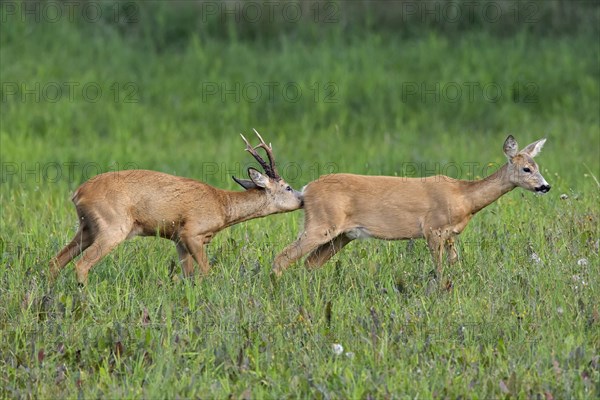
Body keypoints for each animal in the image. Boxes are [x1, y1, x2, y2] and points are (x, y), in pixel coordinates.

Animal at [49, 131, 302, 284]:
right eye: (288, 187)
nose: (302, 200)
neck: (222, 206)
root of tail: (78, 193)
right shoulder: (191, 232)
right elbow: (206, 271)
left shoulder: (178, 239)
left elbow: (188, 276)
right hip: (113, 226)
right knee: (81, 264)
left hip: (87, 228)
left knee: (55, 261)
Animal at [274, 134, 552, 282]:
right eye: (526, 169)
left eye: (538, 166)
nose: (545, 186)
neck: (464, 197)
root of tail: (306, 190)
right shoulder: (432, 229)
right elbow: (438, 269)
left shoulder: (450, 235)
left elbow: (454, 264)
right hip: (321, 224)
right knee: (283, 257)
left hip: (342, 235)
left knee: (310, 263)